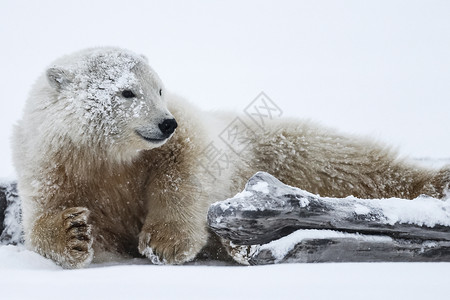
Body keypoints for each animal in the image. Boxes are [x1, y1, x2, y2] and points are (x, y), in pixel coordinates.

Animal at [11, 48, 450, 268]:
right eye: (126, 92)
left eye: (159, 88)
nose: (165, 123)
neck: (107, 156)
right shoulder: (48, 162)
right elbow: (44, 216)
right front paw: (74, 234)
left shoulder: (187, 134)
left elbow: (186, 171)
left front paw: (165, 243)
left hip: (274, 144)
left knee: (341, 159)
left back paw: (433, 184)